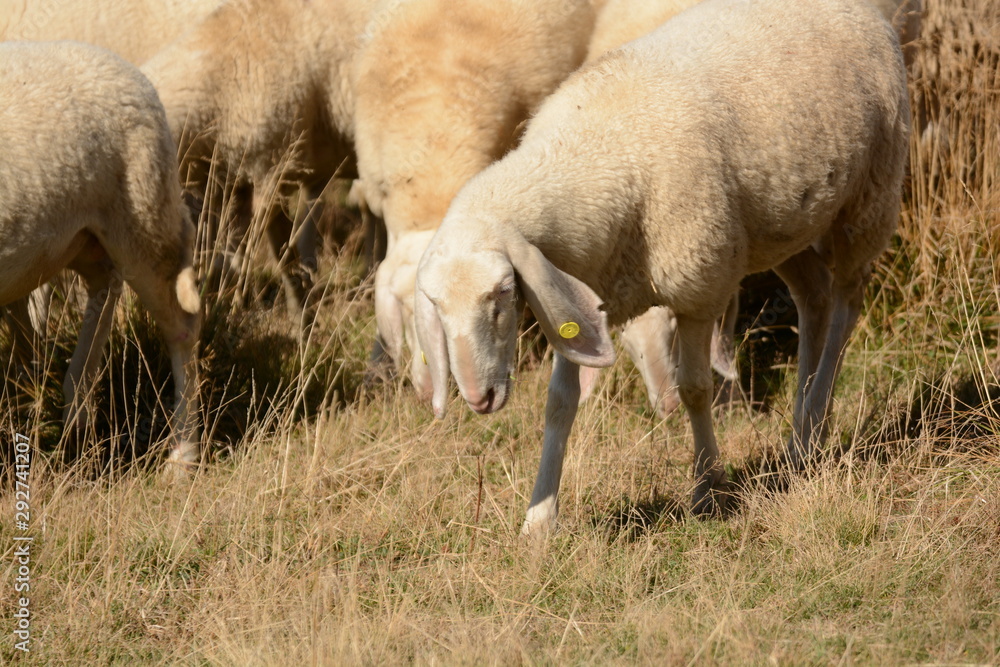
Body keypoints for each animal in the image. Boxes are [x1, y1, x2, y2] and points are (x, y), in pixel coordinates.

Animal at [0, 41, 202, 466]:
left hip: (143, 216)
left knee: (182, 325)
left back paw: (182, 455)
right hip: (85, 235)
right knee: (105, 287)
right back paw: (76, 405)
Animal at [415, 0, 910, 535]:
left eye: (504, 292)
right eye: (436, 305)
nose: (478, 398)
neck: (594, 155)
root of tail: (866, 11)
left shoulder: (700, 288)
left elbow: (694, 389)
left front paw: (708, 490)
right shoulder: (578, 295)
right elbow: (560, 405)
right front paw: (539, 522)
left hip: (869, 197)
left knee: (846, 304)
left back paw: (813, 419)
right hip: (784, 219)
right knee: (814, 295)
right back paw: (801, 438)